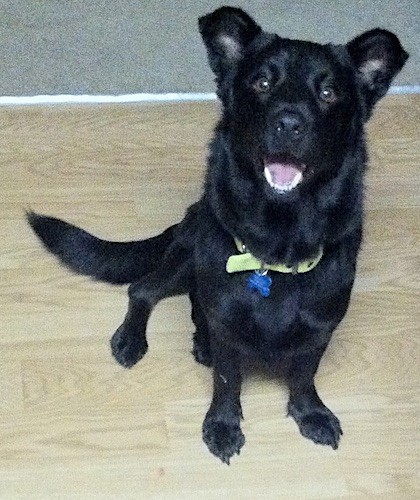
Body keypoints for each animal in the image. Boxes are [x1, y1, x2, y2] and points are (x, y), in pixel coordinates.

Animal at [27, 5, 408, 462]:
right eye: (263, 82)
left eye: (329, 92)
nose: (289, 123)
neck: (278, 243)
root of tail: (187, 216)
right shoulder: (227, 325)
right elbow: (228, 381)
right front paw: (223, 425)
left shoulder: (321, 329)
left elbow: (303, 376)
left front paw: (310, 414)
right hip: (187, 259)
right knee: (143, 290)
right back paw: (133, 339)